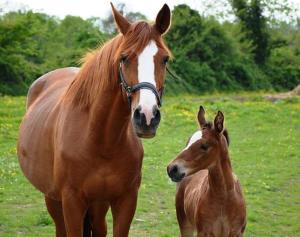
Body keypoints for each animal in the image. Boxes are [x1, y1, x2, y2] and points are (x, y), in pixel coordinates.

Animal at [17, 3, 171, 237]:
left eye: (164, 59)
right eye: (124, 58)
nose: (147, 117)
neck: (101, 139)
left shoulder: (126, 200)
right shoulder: (71, 202)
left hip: (98, 206)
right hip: (53, 199)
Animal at [166, 107, 246, 237]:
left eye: (204, 146)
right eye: (188, 142)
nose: (172, 169)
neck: (223, 199)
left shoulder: (237, 233)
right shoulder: (204, 232)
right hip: (185, 224)